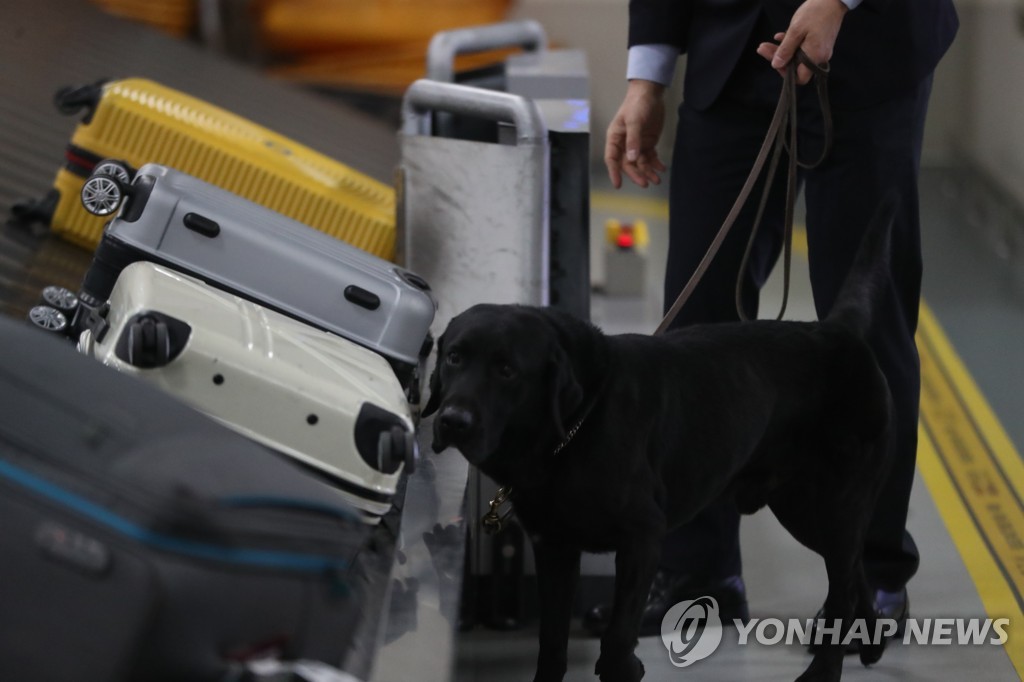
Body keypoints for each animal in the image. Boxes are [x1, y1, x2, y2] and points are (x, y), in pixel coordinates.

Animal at [423, 197, 897, 679]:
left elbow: (617, 637)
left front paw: (624, 666)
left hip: (838, 501)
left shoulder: (642, 537)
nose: (453, 421)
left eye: (507, 370)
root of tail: (837, 330)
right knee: (853, 570)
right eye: (454, 357)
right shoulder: (554, 547)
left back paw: (824, 670)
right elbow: (552, 642)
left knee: (843, 586)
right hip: (803, 509)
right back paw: (872, 642)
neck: (574, 429)